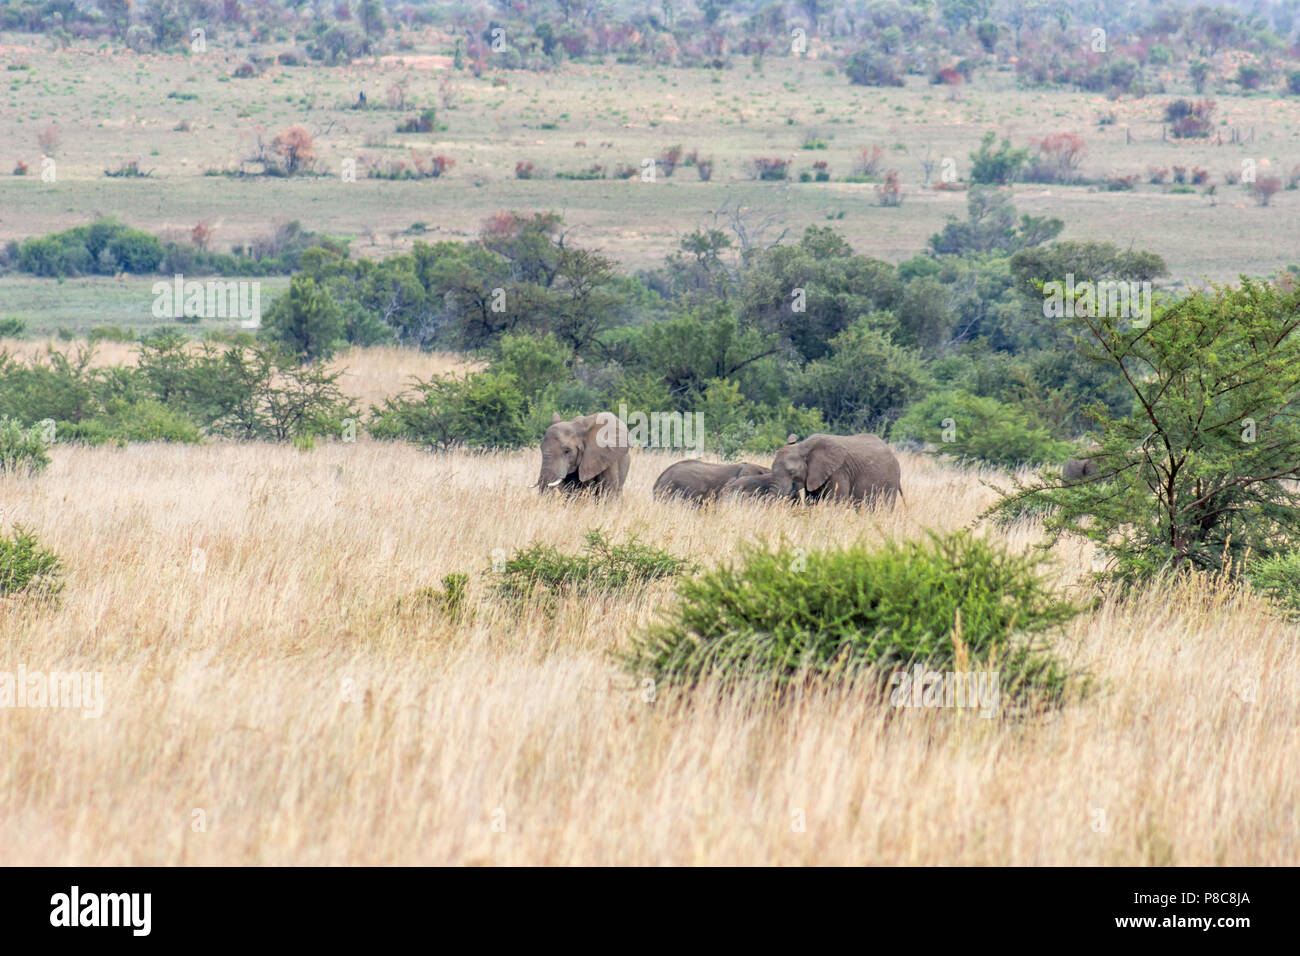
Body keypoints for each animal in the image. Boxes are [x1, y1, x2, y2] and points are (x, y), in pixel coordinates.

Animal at [759, 434, 904, 509]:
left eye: (792, 472)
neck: (804, 447)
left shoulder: (839, 471)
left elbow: (836, 502)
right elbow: (811, 500)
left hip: (890, 481)